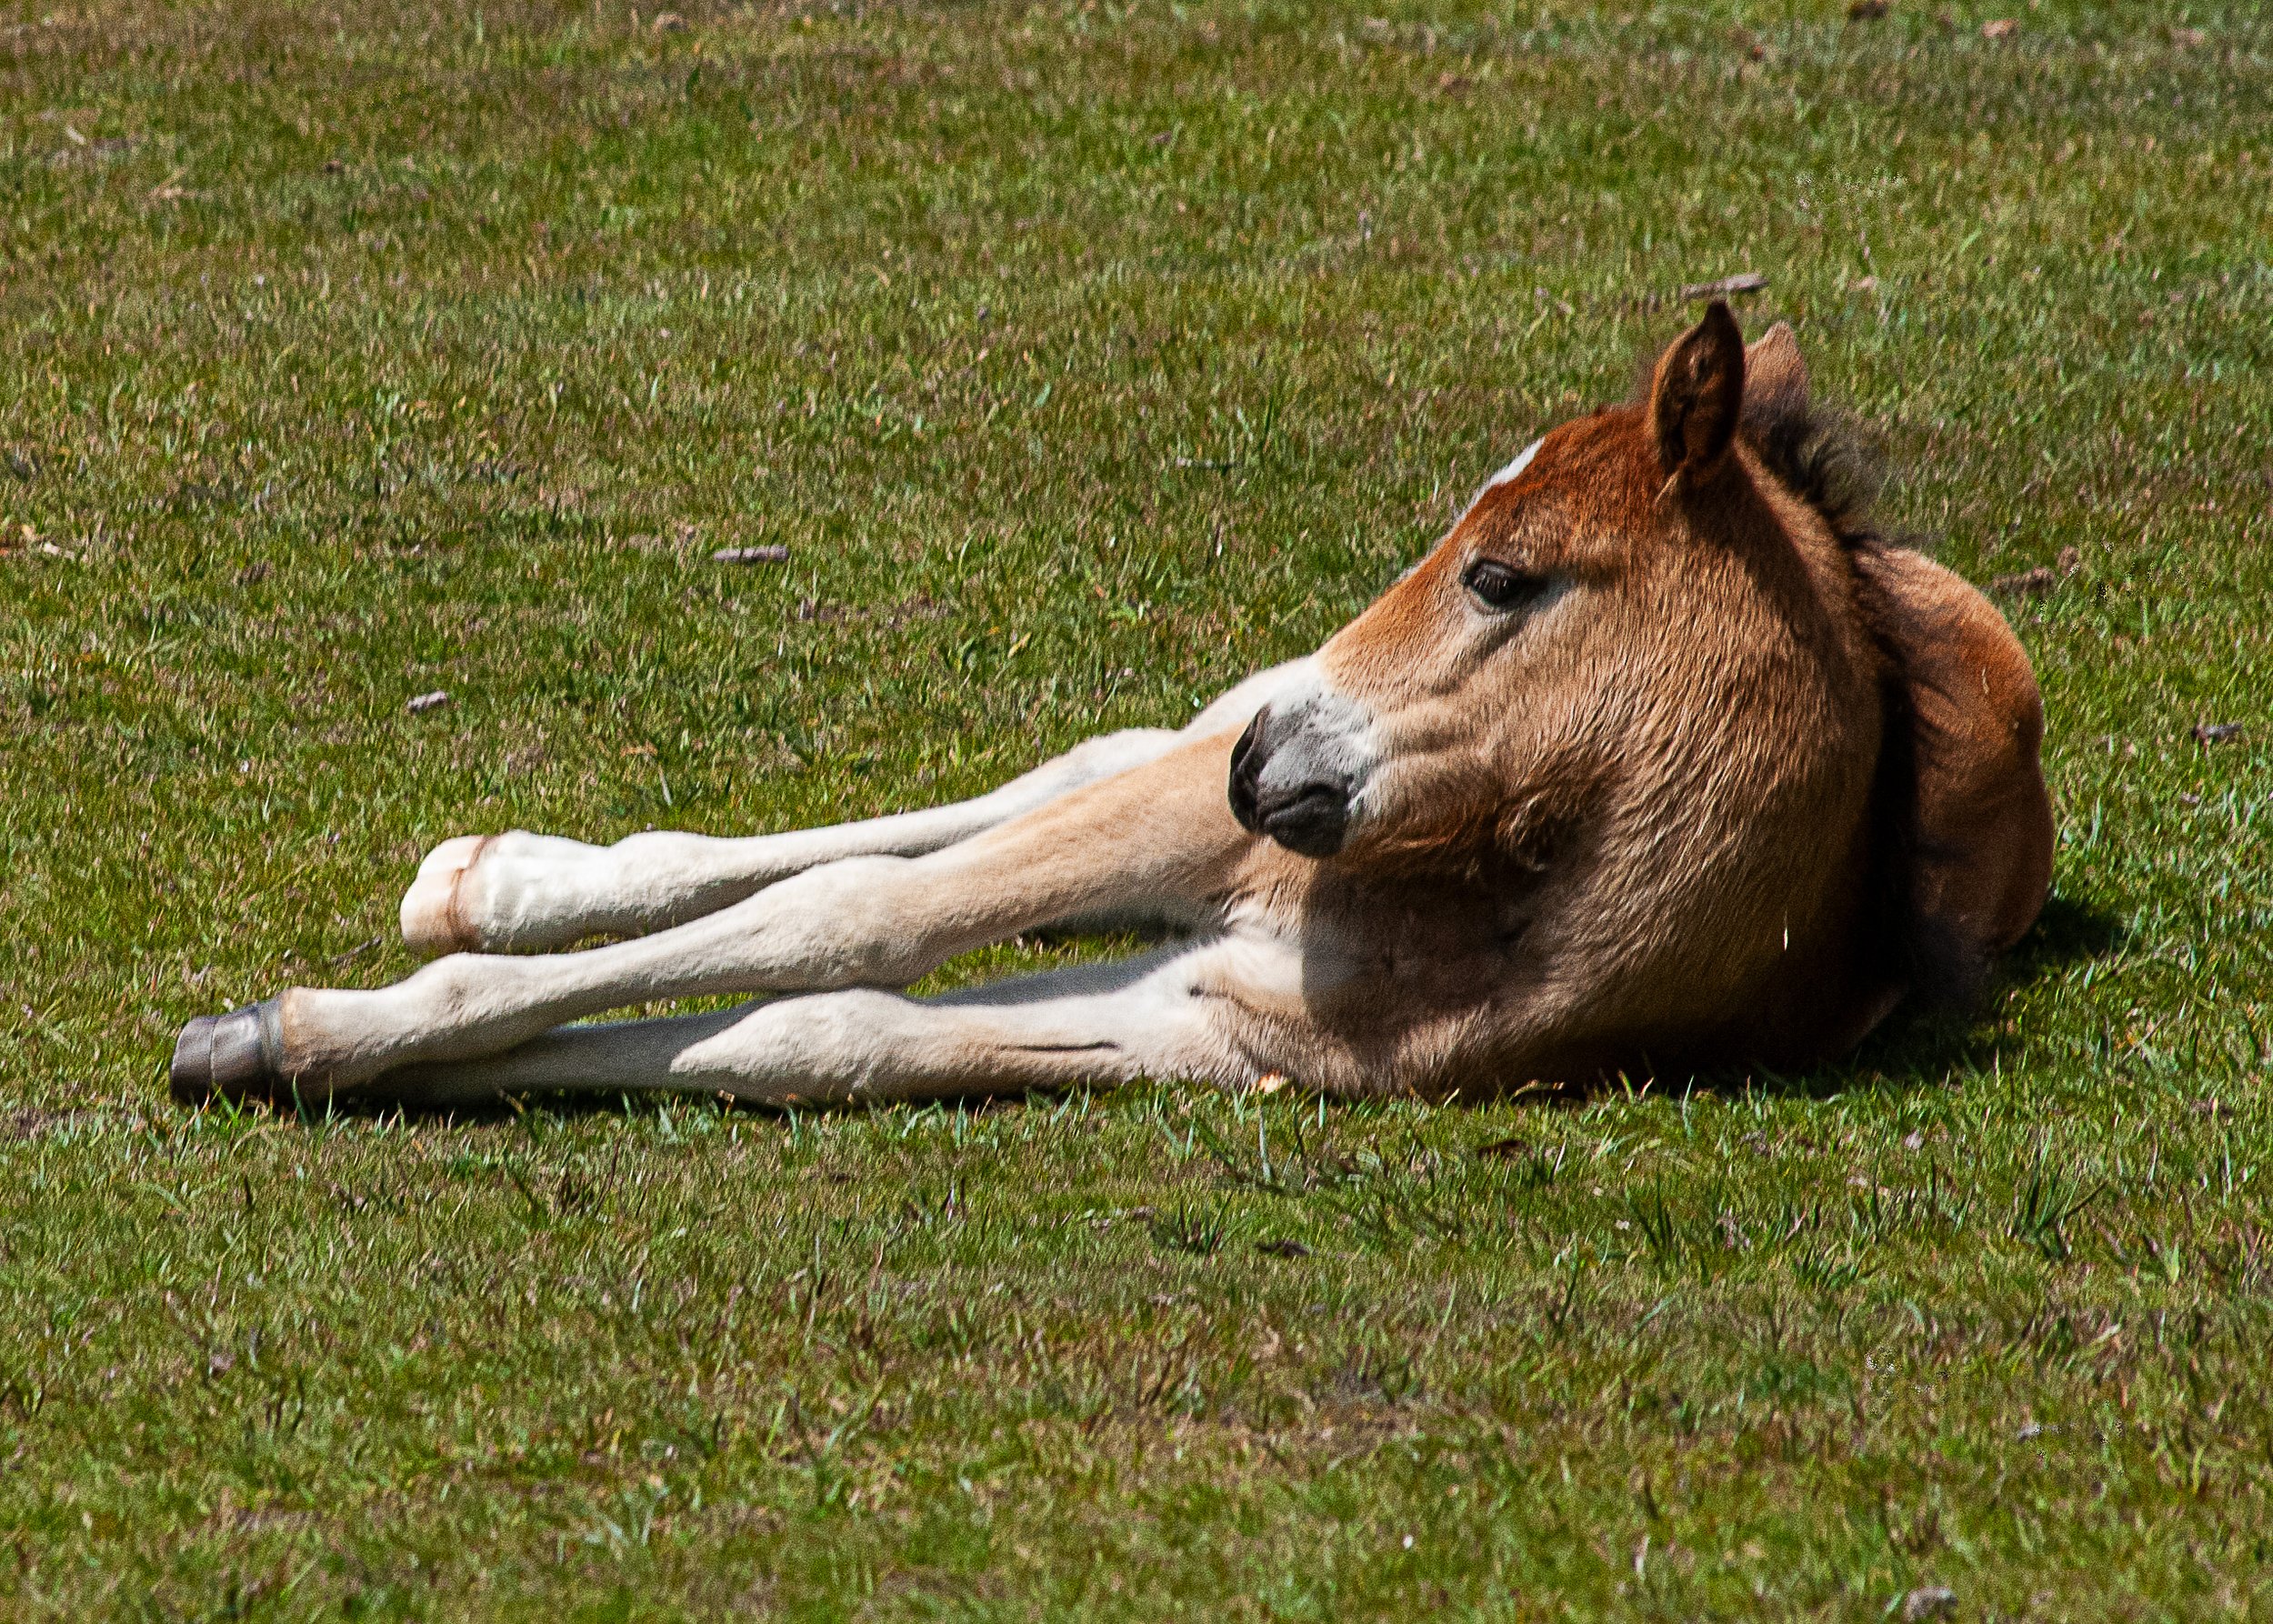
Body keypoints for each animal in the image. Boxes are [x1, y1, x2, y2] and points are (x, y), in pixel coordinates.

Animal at [169, 304, 2053, 1112]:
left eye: (1507, 577)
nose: (1272, 763)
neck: (1511, 903)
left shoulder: (1225, 1032)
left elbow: (813, 1030)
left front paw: (289, 1046)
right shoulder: (1221, 860)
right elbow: (843, 914)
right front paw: (334, 1020)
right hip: (1193, 778)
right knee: (1076, 772)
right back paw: (507, 876)